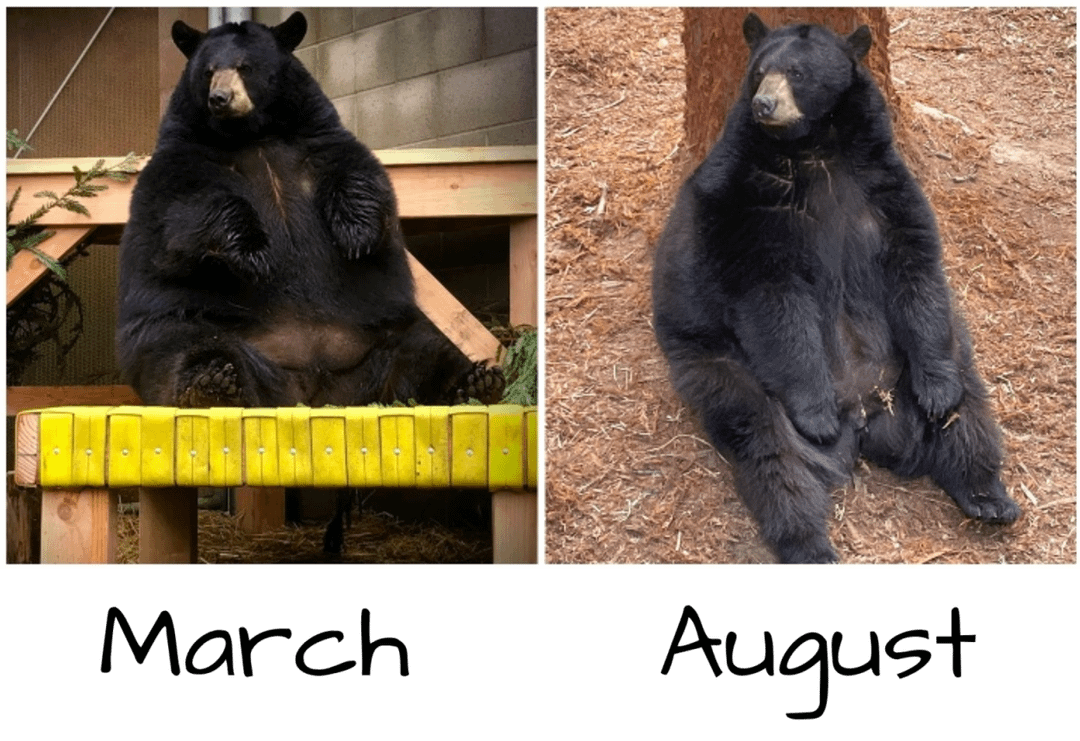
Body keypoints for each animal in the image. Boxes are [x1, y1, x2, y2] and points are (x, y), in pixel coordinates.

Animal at [116, 11, 502, 412]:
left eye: (245, 66)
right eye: (208, 71)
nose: (219, 98)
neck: (252, 134)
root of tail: (316, 392)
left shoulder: (316, 138)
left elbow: (357, 174)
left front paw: (356, 234)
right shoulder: (185, 156)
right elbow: (185, 211)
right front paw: (255, 252)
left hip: (385, 327)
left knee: (427, 349)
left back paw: (476, 382)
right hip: (190, 322)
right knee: (186, 348)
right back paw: (212, 385)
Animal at [651, 13, 1020, 563]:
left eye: (798, 73)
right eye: (759, 71)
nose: (764, 105)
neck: (813, 149)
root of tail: (866, 423)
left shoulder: (882, 184)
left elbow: (916, 265)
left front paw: (937, 394)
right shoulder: (746, 202)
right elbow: (772, 299)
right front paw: (816, 414)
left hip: (924, 367)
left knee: (968, 410)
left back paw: (988, 494)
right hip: (723, 367)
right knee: (768, 449)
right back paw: (809, 539)